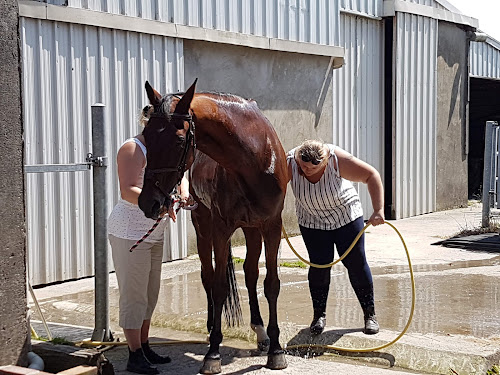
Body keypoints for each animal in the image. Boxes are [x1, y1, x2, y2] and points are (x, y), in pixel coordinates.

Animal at [139, 80, 290, 375]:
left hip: (252, 229)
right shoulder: (220, 229)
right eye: (146, 136)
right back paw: (211, 329)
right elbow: (219, 286)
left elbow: (271, 284)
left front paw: (276, 350)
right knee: (208, 276)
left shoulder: (271, 225)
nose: (147, 202)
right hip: (203, 226)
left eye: (178, 140)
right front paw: (213, 354)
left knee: (251, 273)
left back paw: (260, 333)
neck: (254, 159)